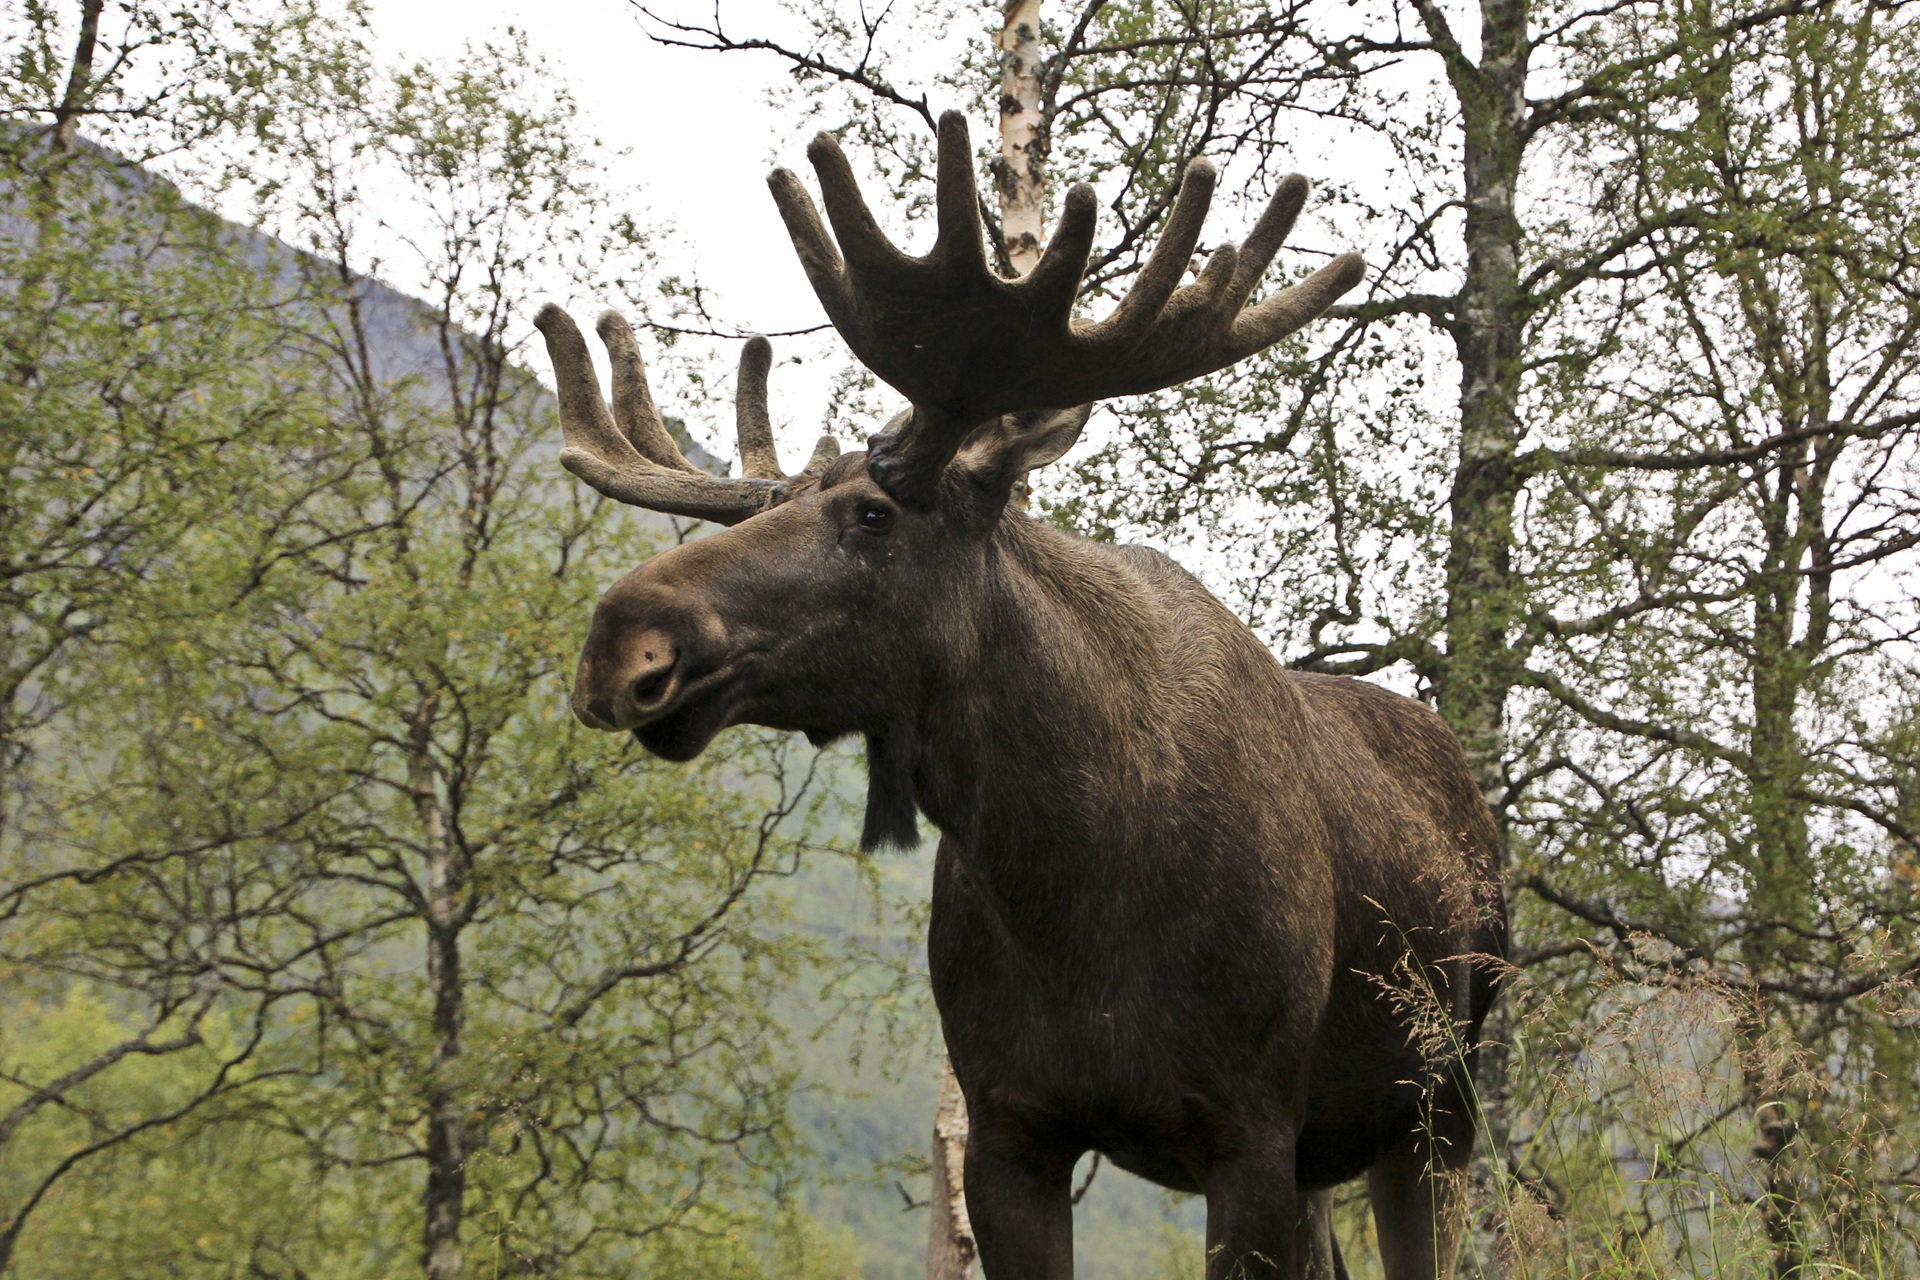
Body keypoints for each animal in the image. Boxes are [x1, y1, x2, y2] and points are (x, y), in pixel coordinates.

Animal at [533, 112, 1505, 1280]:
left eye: (873, 515)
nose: (620, 641)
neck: (1069, 876)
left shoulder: (1252, 1128)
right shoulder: (1011, 1123)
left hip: (1440, 1103)